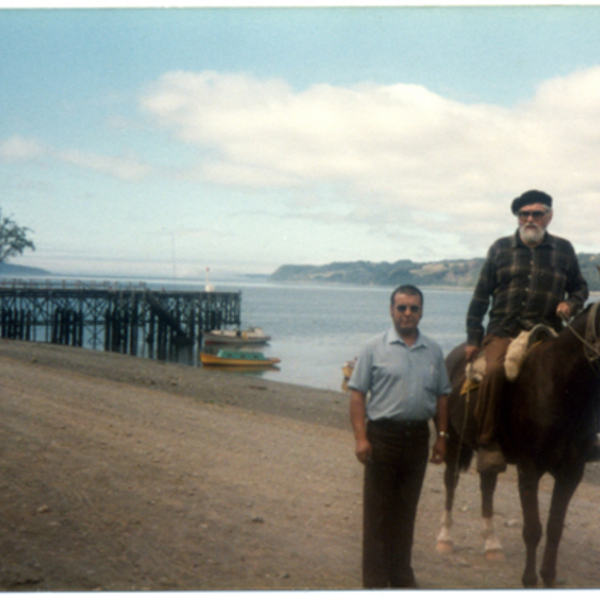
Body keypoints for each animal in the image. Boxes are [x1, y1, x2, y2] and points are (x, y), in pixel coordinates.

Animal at [436, 300, 600, 584]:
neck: (559, 387)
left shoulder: (571, 472)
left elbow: (555, 527)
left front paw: (548, 577)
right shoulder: (529, 468)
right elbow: (533, 528)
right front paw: (530, 579)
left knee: (487, 486)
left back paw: (492, 544)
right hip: (454, 444)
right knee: (450, 483)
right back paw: (445, 539)